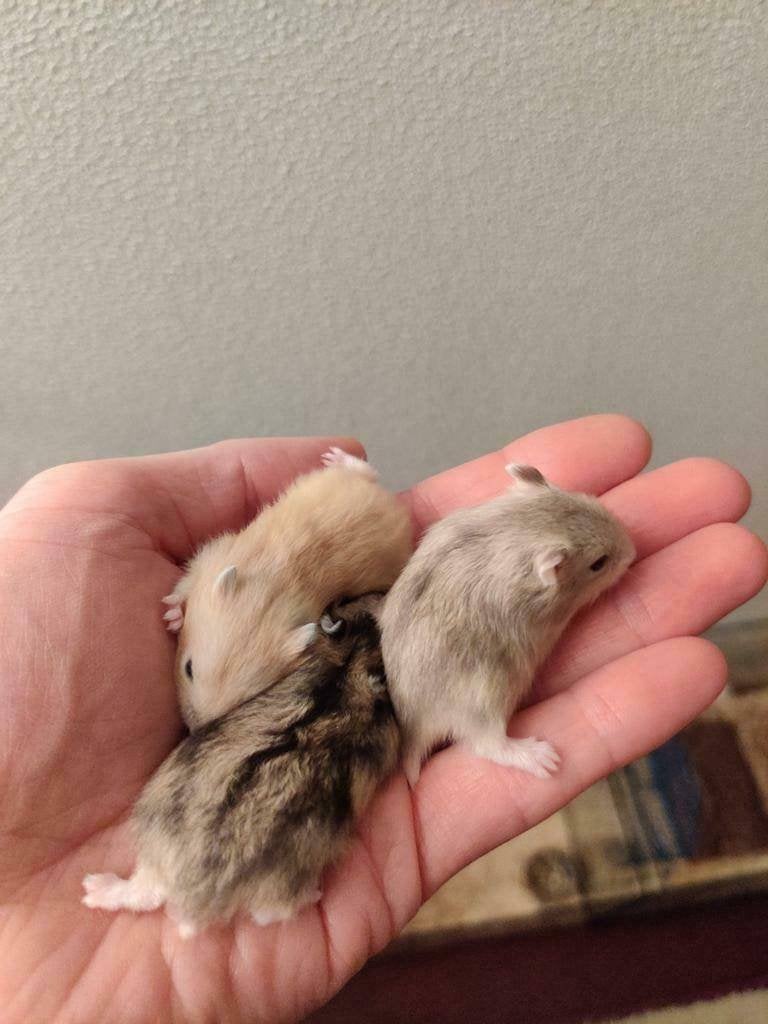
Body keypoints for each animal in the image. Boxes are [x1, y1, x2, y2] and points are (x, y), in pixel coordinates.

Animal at [162, 448, 412, 729]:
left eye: (243, 701)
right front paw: (171, 617)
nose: (192, 728)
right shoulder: (213, 556)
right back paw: (332, 457)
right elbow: (184, 585)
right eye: (188, 669)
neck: (270, 595)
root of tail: (395, 508)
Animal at [379, 464, 635, 786]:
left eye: (588, 500)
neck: (523, 530)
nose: (634, 551)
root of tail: (413, 726)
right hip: (485, 699)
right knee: (488, 745)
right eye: (598, 563)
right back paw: (543, 758)